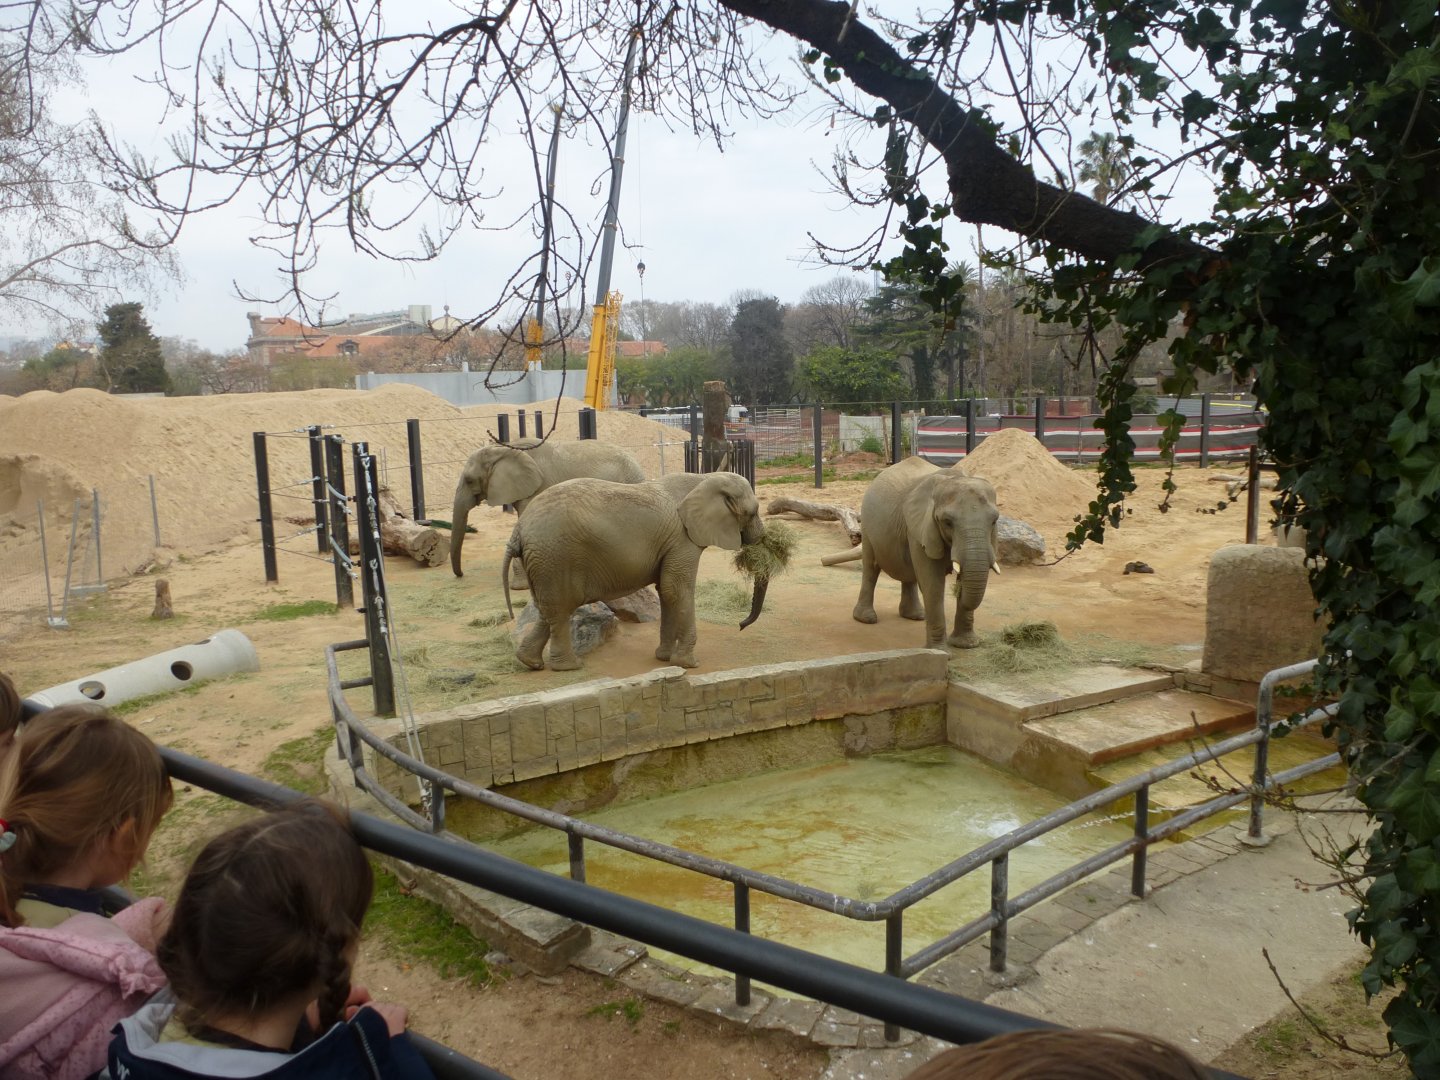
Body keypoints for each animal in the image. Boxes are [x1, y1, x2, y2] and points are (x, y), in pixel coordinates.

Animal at [501, 472, 765, 671]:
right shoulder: (683, 539)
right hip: (555, 556)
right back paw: (569, 666)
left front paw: (664, 658)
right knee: (560, 607)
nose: (740, 625)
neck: (704, 478)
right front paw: (688, 664)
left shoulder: (672, 543)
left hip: (542, 560)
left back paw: (531, 662)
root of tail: (519, 529)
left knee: (547, 608)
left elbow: (666, 591)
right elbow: (676, 589)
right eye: (752, 513)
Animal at [852, 457, 1000, 649]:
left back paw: (916, 616)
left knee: (909, 573)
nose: (957, 591)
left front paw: (966, 645)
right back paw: (866, 618)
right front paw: (939, 650)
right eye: (947, 522)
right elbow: (933, 583)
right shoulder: (921, 527)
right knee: (871, 567)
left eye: (994, 521)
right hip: (868, 524)